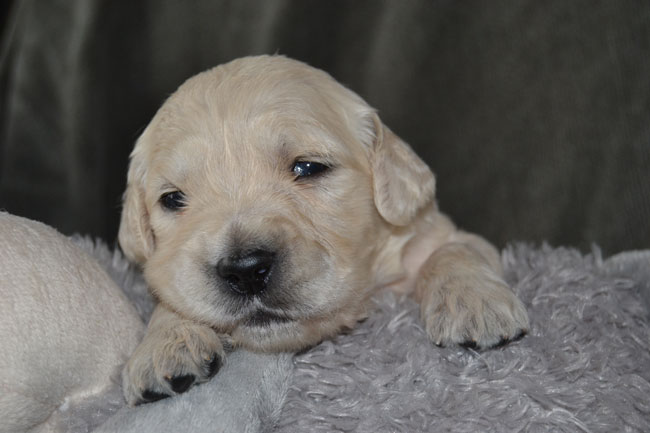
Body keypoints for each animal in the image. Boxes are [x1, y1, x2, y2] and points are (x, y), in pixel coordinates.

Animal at [119, 54, 528, 404]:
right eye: (173, 199)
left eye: (308, 167)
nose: (245, 270)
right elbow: (171, 294)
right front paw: (165, 343)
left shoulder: (439, 235)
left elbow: (455, 250)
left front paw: (475, 304)